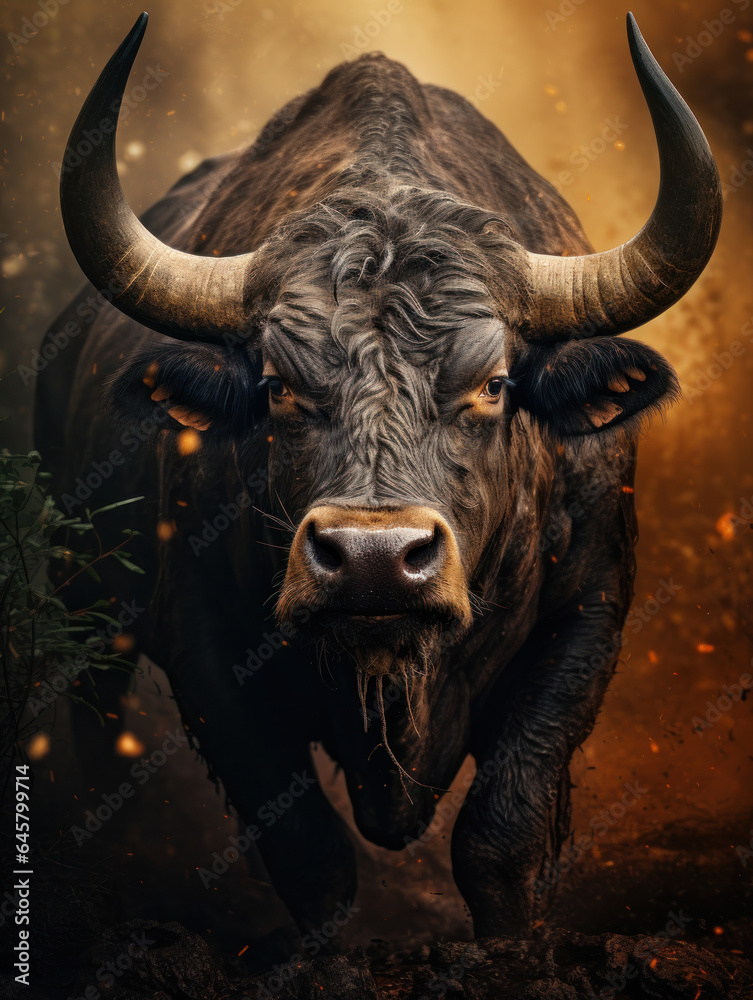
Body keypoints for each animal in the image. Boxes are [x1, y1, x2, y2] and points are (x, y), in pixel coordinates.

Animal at [35, 12, 721, 945]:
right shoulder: (205, 650)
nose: (372, 560)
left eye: (492, 385)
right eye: (278, 385)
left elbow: (500, 833)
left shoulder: (587, 614)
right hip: (87, 608)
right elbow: (310, 852)